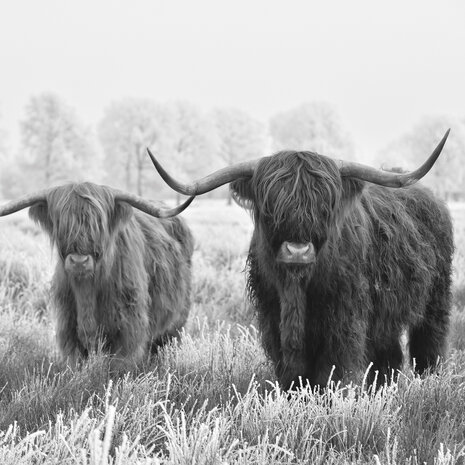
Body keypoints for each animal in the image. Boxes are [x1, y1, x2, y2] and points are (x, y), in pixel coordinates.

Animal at [0, 181, 194, 366]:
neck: (87, 290)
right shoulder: (68, 329)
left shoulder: (128, 329)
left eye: (98, 224)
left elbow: (119, 365)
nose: (79, 261)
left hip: (177, 322)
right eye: (60, 222)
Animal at [148, 130, 454, 388]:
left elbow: (331, 370)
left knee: (429, 343)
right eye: (270, 203)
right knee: (388, 355)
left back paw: (428, 382)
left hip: (435, 299)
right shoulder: (273, 319)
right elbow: (291, 372)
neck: (296, 287)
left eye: (325, 204)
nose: (297, 251)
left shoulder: (343, 320)